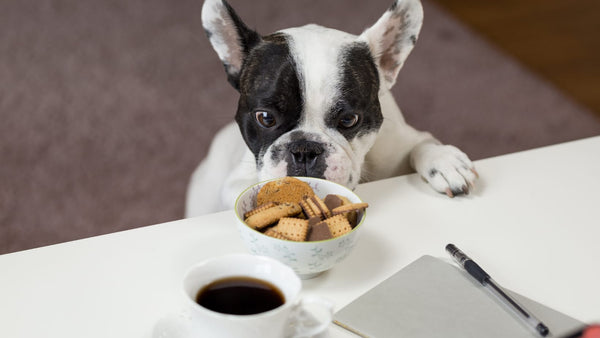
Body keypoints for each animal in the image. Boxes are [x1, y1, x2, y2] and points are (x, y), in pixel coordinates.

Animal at [185, 0, 476, 217]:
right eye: (265, 118)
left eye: (349, 120)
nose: (304, 149)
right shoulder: (236, 181)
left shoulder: (400, 142)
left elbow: (422, 144)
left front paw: (444, 161)